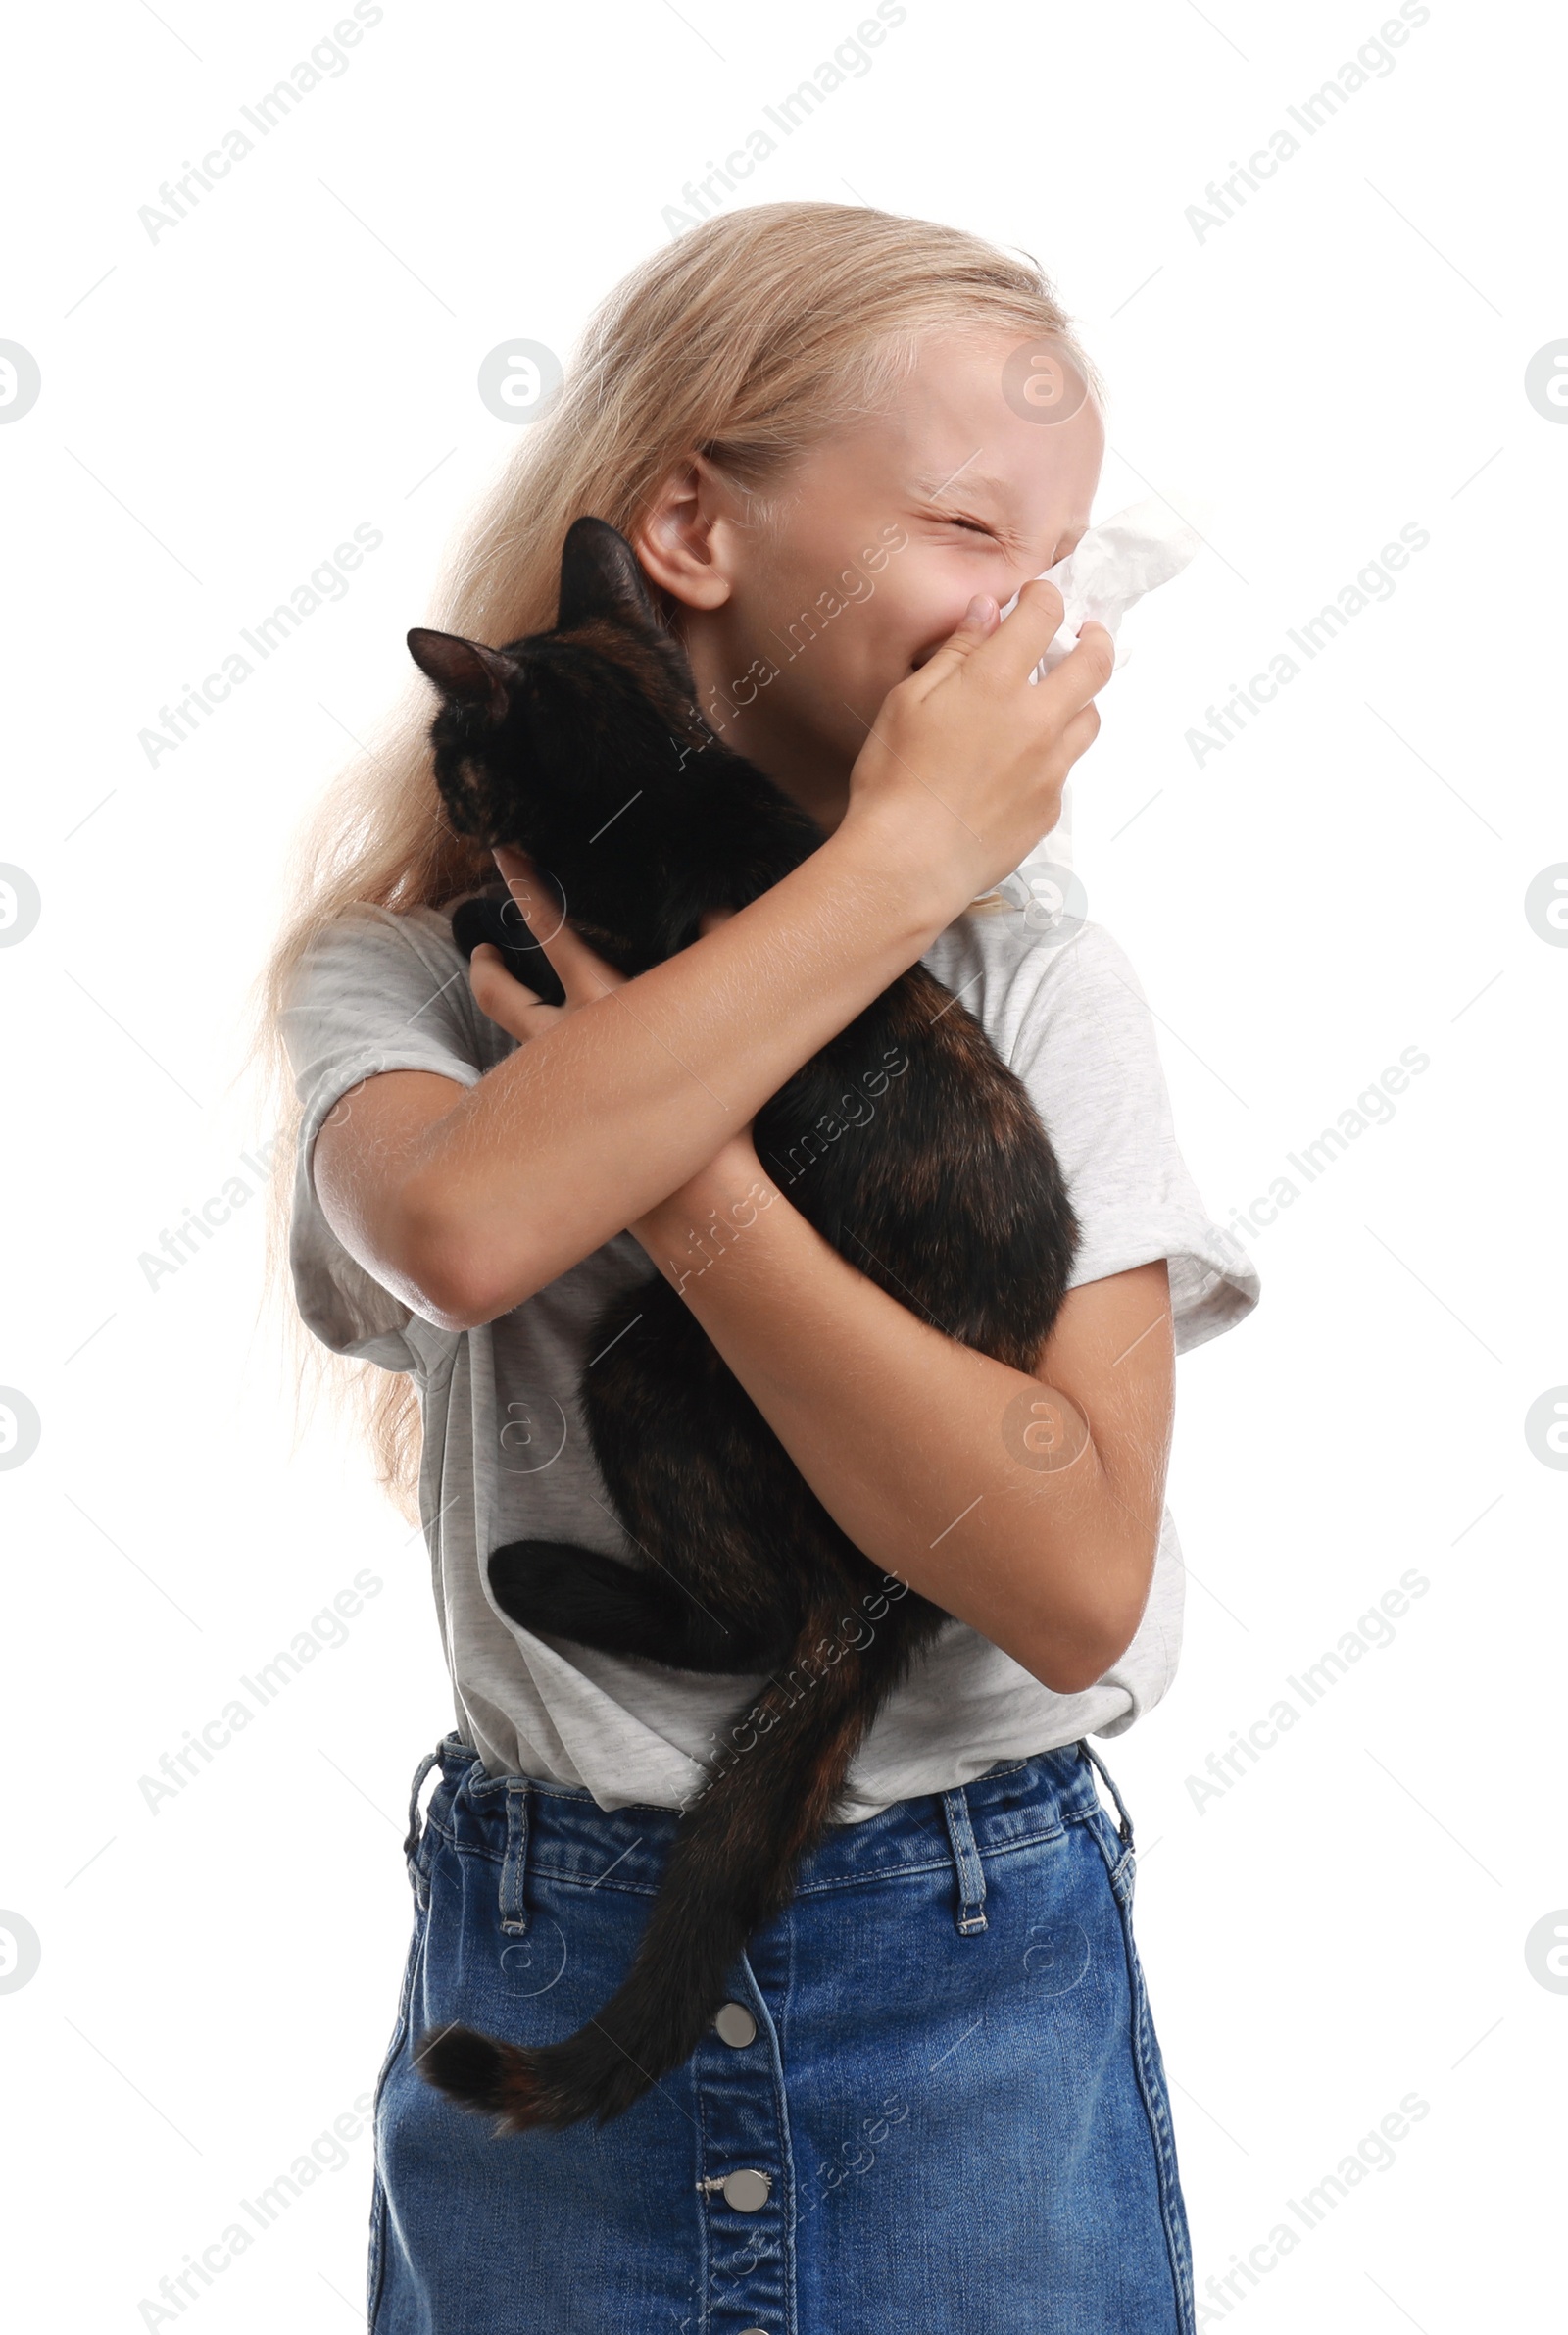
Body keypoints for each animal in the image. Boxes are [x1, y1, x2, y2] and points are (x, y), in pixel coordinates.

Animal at [401, 516, 1078, 2138]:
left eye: (456, 755)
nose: (445, 806)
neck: (672, 769)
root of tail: (894, 1593)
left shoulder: (623, 961)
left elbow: (526, 929)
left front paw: (483, 908)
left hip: (650, 1356)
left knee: (751, 1620)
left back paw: (538, 1575)